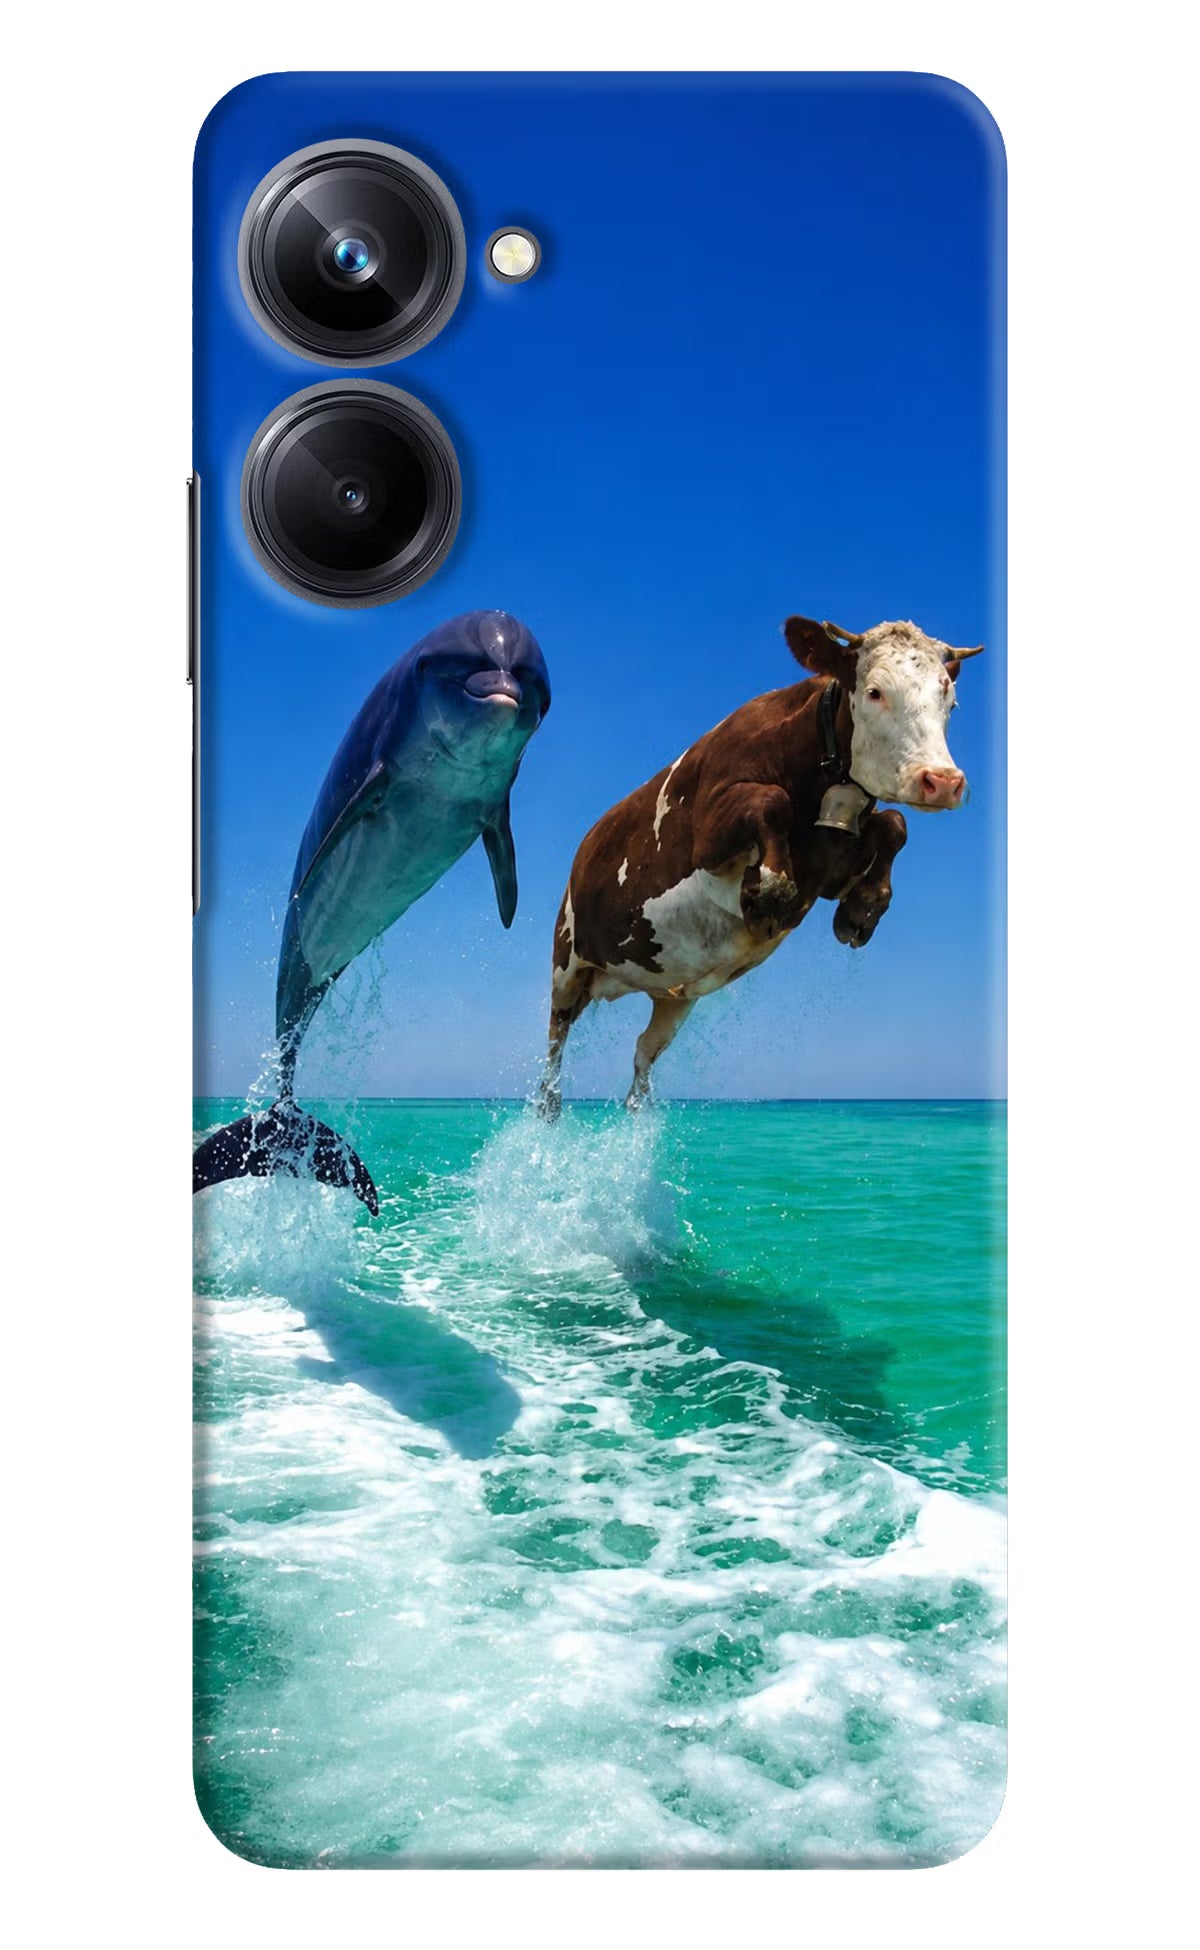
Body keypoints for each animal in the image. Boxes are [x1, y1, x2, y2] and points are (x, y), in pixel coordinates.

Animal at [537, 615, 983, 1116]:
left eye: (950, 699)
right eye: (874, 691)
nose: (942, 781)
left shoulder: (829, 868)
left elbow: (894, 823)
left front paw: (862, 909)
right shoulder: (708, 834)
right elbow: (772, 802)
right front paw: (768, 892)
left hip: (672, 995)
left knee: (642, 1054)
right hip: (566, 961)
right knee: (554, 1042)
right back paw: (549, 1105)